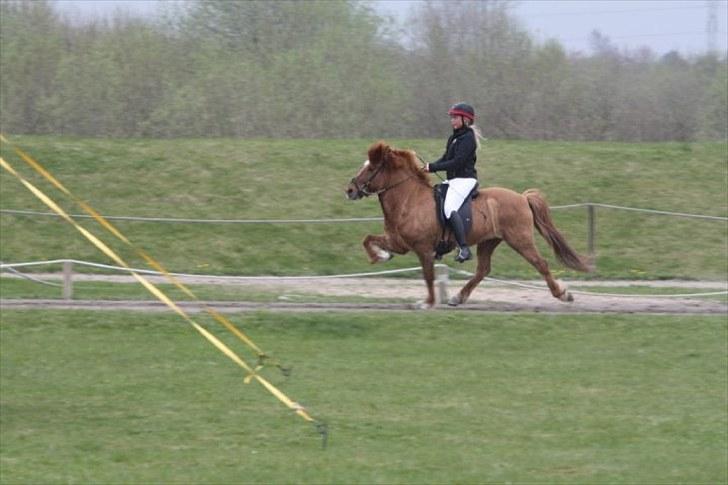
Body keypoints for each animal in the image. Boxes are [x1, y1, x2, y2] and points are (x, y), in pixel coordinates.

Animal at [346, 140, 592, 308]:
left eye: (370, 169)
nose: (349, 190)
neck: (409, 199)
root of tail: (522, 197)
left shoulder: (422, 248)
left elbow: (428, 275)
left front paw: (428, 302)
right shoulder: (400, 242)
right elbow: (368, 240)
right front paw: (381, 256)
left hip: (519, 239)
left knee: (540, 263)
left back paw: (563, 295)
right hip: (489, 241)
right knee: (483, 269)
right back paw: (458, 297)